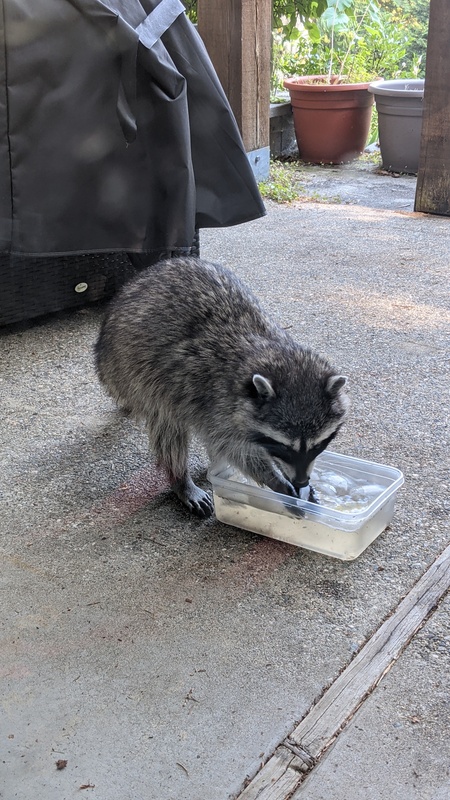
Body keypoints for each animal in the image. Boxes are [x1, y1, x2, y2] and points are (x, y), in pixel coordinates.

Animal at [94, 258, 348, 520]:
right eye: (285, 446)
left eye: (319, 445)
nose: (301, 481)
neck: (260, 353)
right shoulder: (211, 397)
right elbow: (234, 448)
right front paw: (276, 480)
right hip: (136, 372)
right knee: (168, 427)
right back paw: (180, 479)